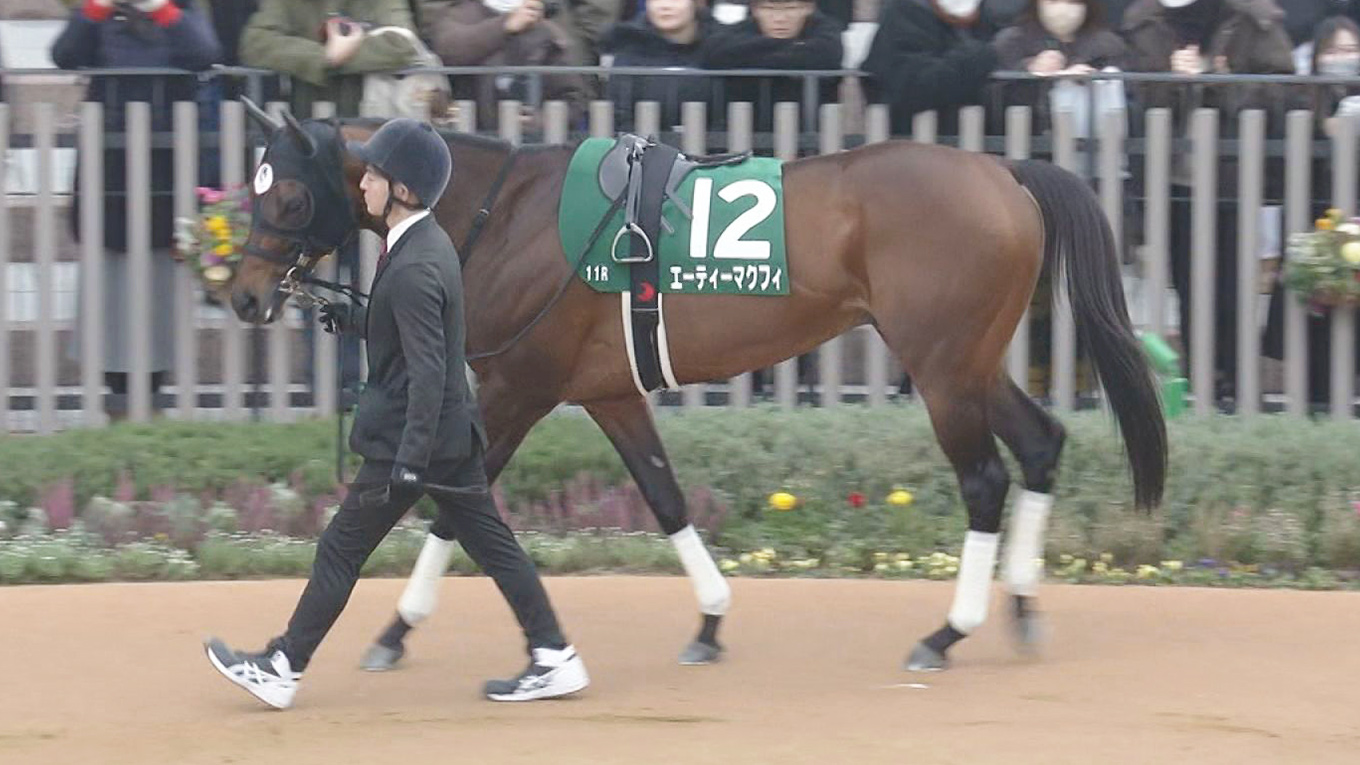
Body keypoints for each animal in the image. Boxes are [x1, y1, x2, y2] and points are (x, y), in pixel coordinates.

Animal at [229, 100, 1167, 673]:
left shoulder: (519, 387)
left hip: (940, 367)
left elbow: (453, 505)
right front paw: (711, 620)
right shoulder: (608, 392)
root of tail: (1006, 174)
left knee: (985, 478)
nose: (241, 294)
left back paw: (946, 632)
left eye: (287, 199)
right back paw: (1022, 605)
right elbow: (664, 493)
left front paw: (394, 629)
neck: (509, 213)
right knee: (1041, 442)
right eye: (253, 187)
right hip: (967, 361)